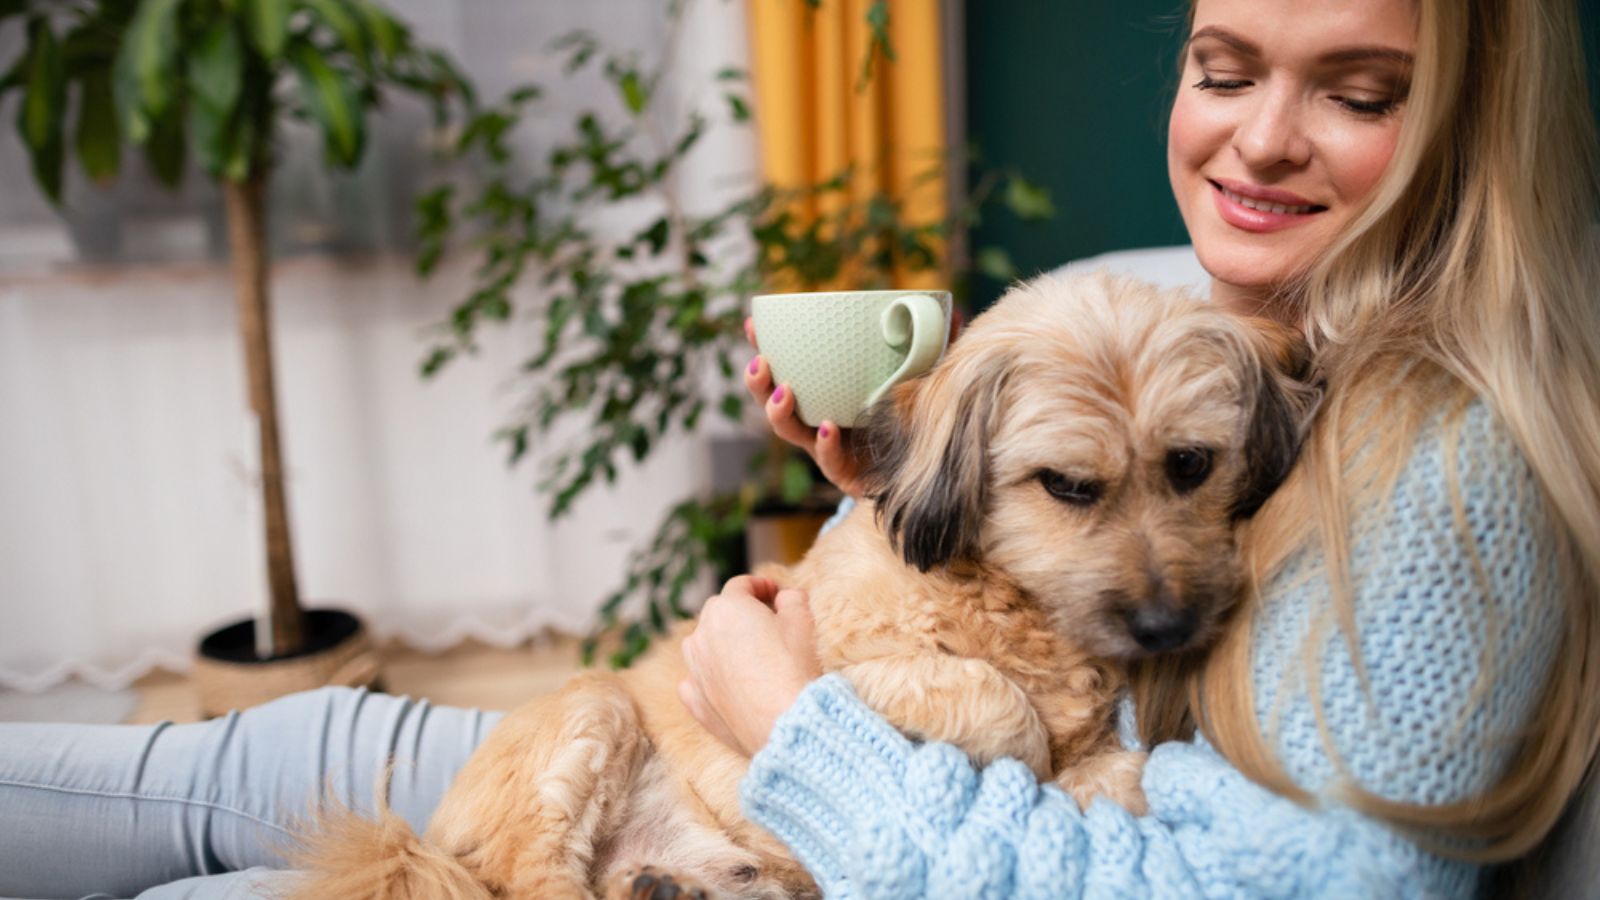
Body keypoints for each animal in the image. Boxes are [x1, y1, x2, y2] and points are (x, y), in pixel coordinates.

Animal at [294, 272, 1318, 896]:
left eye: (1191, 465)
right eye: (1066, 486)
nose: (1167, 625)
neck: (1007, 602)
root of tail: (423, 837)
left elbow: (1115, 772)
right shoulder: (858, 668)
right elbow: (993, 702)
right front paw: (1022, 742)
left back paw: (664, 885)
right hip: (590, 715)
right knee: (530, 880)